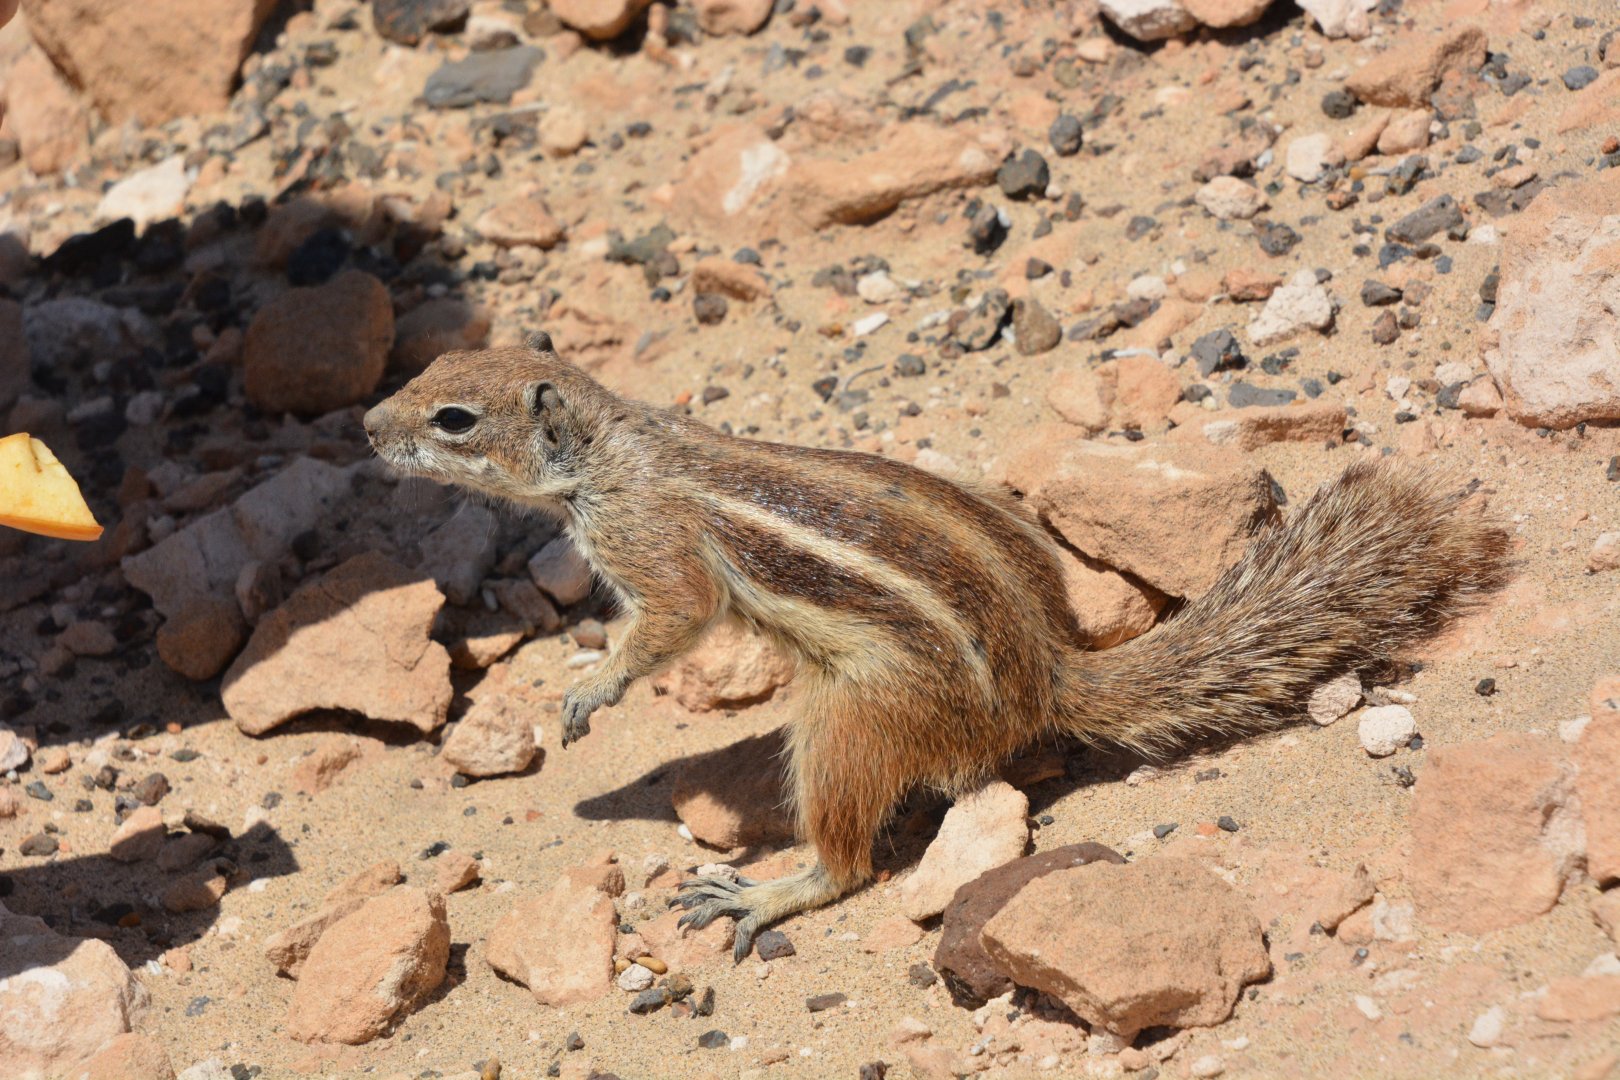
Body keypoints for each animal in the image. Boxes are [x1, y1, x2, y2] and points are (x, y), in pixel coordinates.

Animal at [364, 335, 1510, 960]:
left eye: (454, 417)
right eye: (428, 369)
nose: (369, 428)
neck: (613, 449)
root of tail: (1049, 675)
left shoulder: (652, 540)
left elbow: (676, 618)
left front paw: (591, 689)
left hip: (850, 719)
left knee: (850, 854)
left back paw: (769, 889)